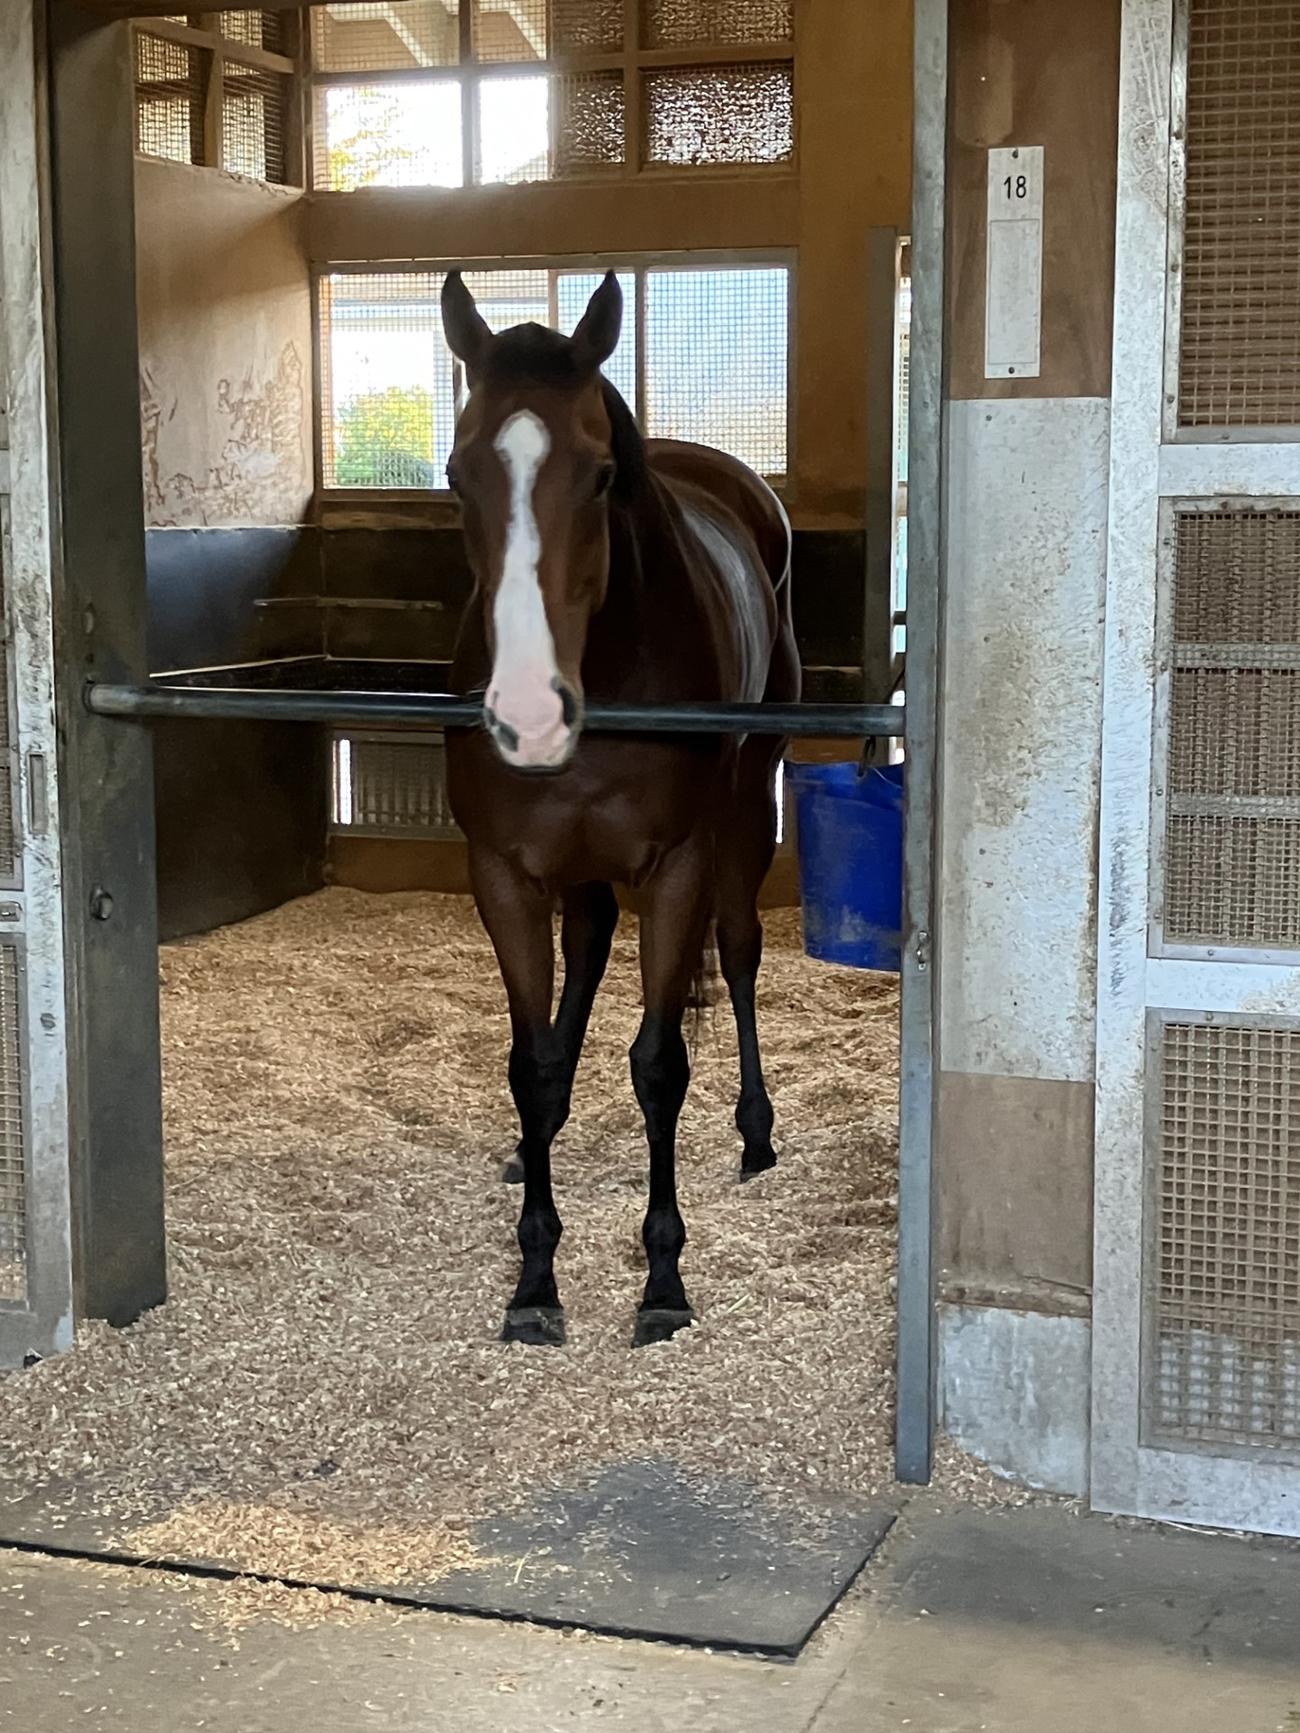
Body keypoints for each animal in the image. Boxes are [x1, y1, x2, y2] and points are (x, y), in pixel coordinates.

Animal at [440, 269, 800, 1348]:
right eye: (457, 477)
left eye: (600, 476)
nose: (525, 712)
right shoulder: (506, 873)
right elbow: (525, 1060)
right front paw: (533, 1278)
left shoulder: (676, 865)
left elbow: (658, 1064)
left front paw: (662, 1279)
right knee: (591, 945)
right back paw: (543, 1130)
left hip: (748, 803)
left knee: (737, 953)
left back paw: (756, 1131)